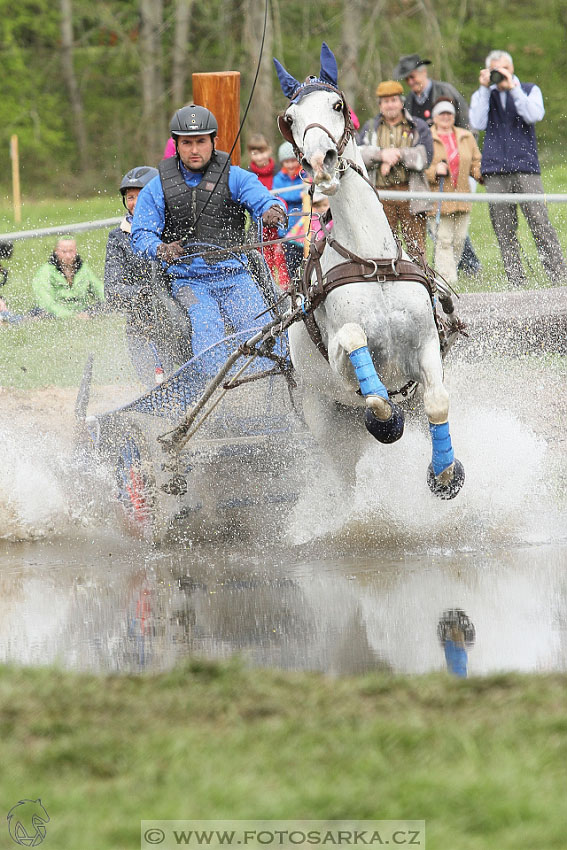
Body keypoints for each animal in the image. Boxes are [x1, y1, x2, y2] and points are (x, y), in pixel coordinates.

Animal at [276, 44, 466, 496]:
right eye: (290, 119)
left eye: (337, 105)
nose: (320, 162)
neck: (372, 264)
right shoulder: (342, 366)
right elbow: (373, 388)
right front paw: (385, 420)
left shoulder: (426, 344)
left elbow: (438, 402)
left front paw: (445, 473)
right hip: (325, 418)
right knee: (345, 474)